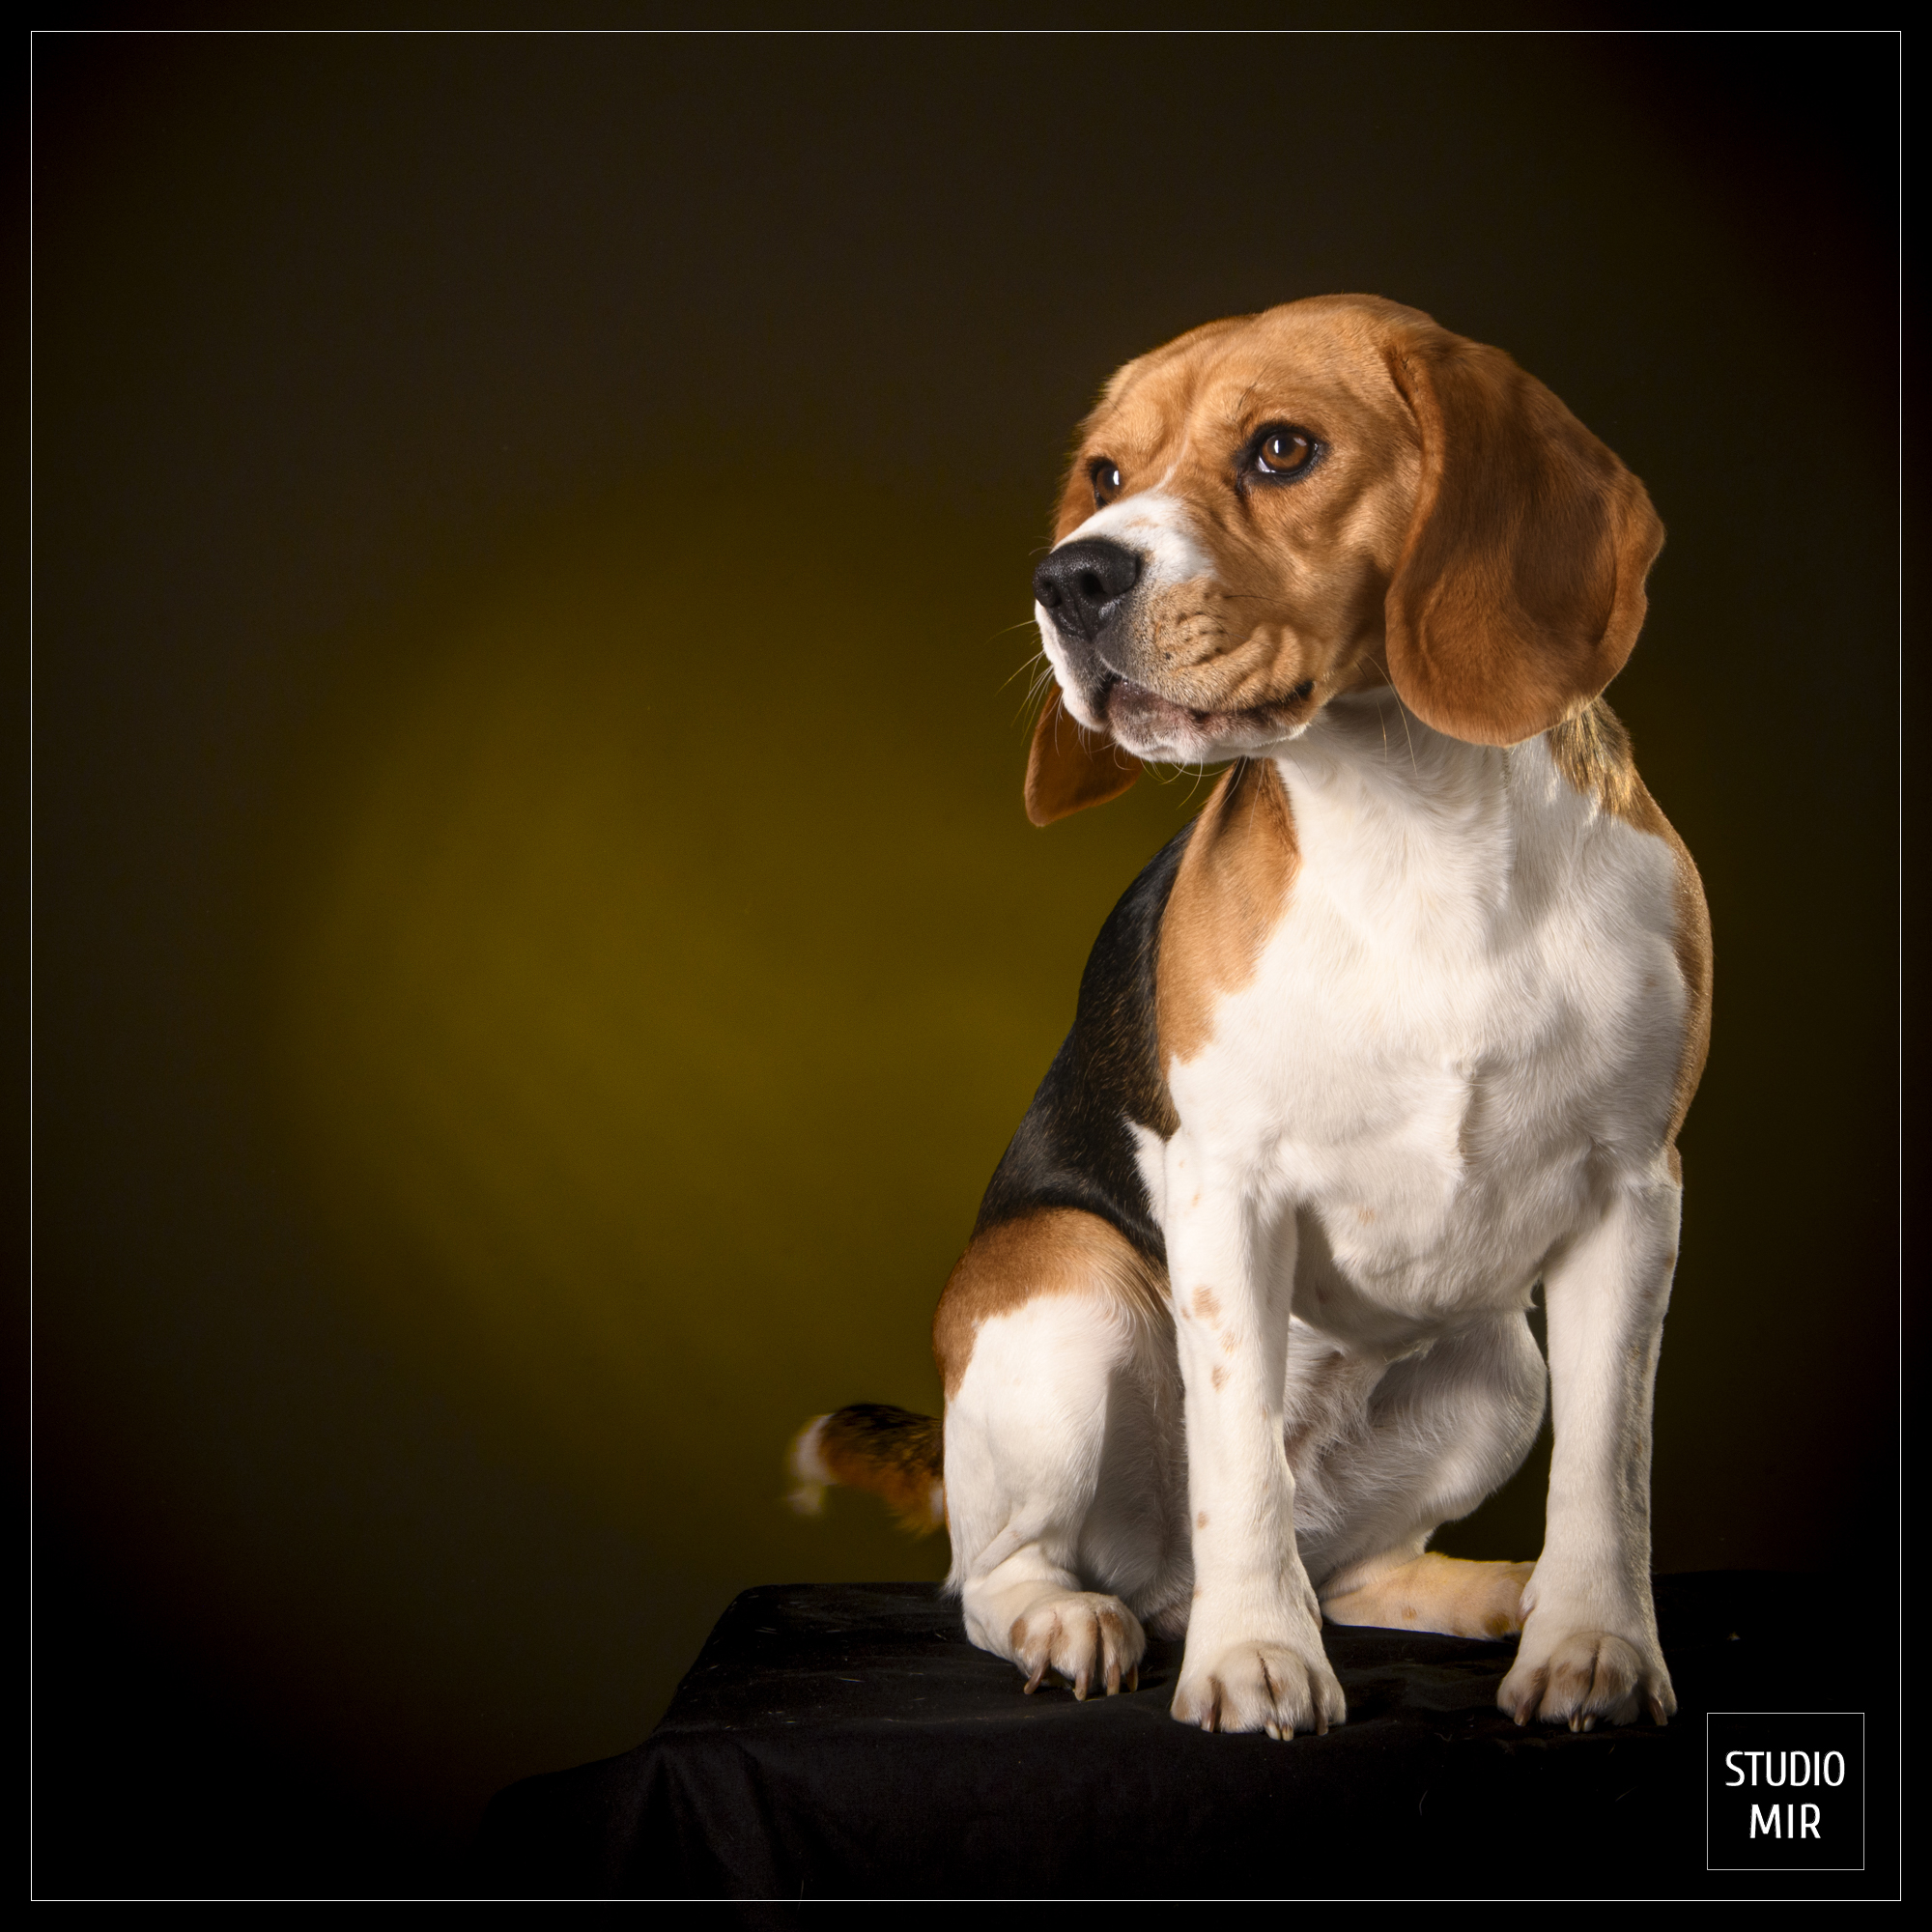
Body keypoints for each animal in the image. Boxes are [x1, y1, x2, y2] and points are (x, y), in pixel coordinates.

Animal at [792, 298, 1716, 1739]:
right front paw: (1252, 1660)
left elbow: (1608, 1472)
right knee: (996, 1573)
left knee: (1349, 1563)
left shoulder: (1634, 1195)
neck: (1411, 828)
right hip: (1066, 1291)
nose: (1069, 578)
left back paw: (1484, 1591)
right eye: (1106, 473)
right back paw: (1078, 1617)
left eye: (1283, 449)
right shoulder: (1225, 1192)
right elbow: (1238, 1468)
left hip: (1502, 1365)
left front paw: (1591, 1646)